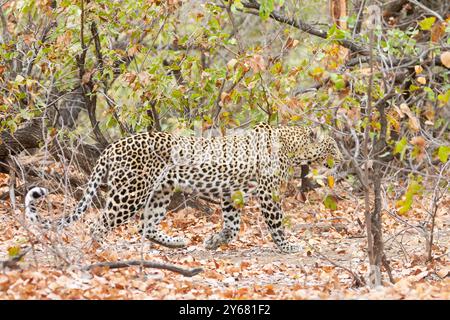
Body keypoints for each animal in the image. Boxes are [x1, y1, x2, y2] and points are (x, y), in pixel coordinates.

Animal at [25, 122, 342, 252]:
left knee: (146, 226)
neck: (292, 146)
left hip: (160, 192)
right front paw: (288, 246)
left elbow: (232, 226)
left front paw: (213, 241)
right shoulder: (268, 193)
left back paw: (176, 242)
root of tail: (112, 147)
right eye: (332, 146)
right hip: (130, 193)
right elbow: (276, 224)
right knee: (98, 224)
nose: (339, 158)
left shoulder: (231, 194)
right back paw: (101, 251)